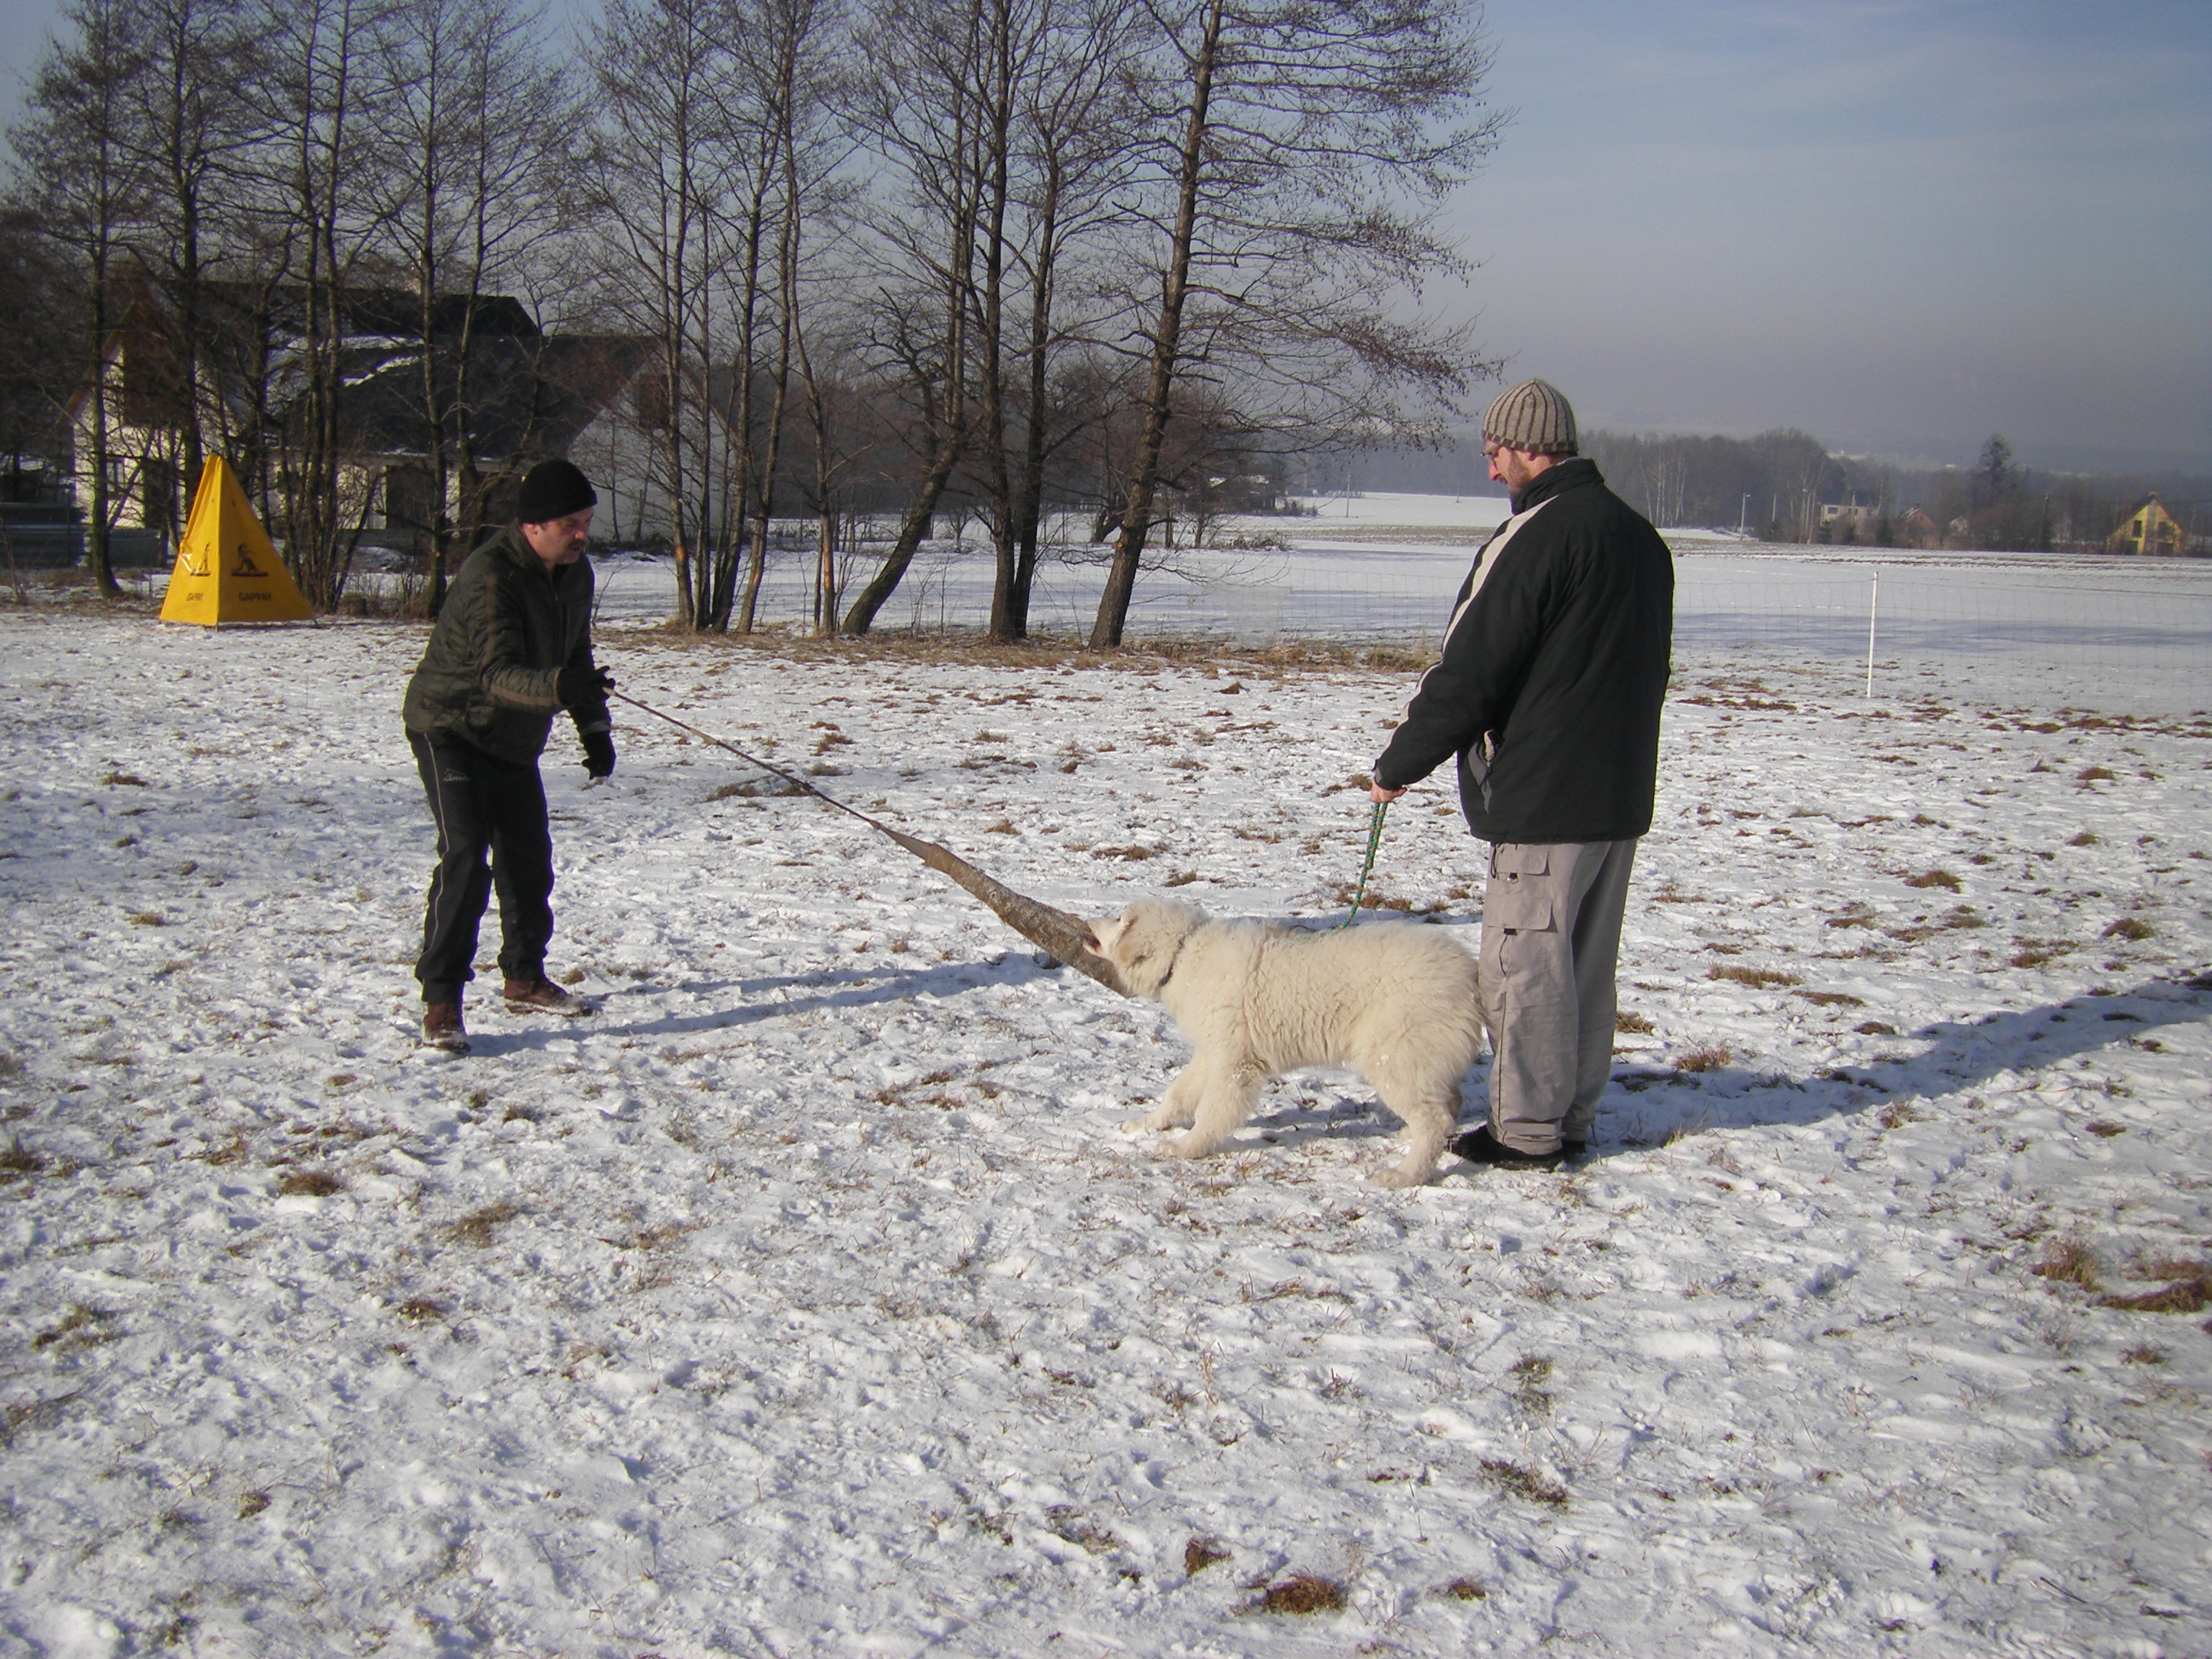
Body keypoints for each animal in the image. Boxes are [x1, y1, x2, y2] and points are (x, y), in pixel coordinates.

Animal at [1079, 902, 1478, 1185]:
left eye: (1119, 918)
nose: (1086, 924)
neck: (1184, 954)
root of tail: (1469, 977)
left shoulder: (1234, 1063)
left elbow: (1211, 1111)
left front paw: (1187, 1147)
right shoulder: (1212, 1053)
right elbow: (1177, 1094)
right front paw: (1146, 1125)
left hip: (1395, 1055)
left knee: (1434, 1119)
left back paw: (1405, 1174)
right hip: (1421, 1057)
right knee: (1448, 1104)